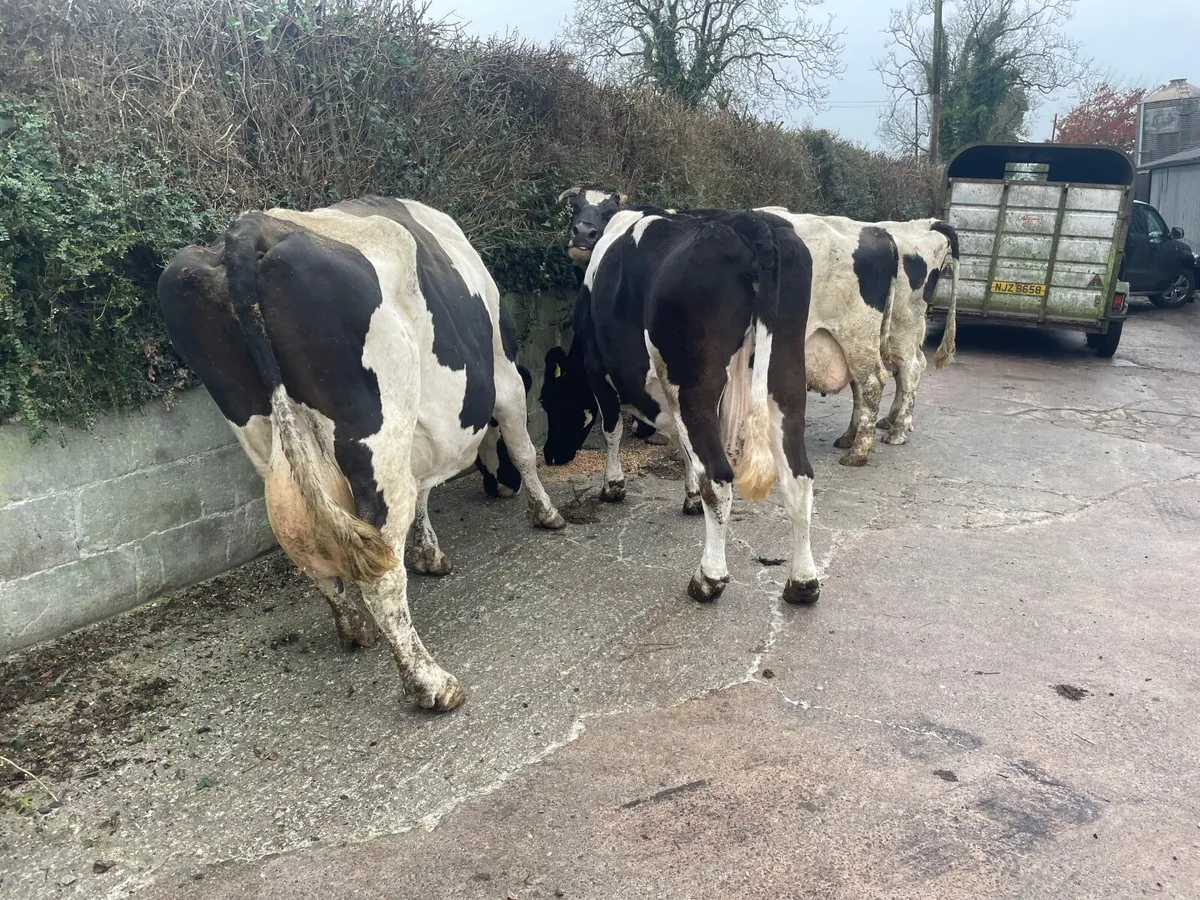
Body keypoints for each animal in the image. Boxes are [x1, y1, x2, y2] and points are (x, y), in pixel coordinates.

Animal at [158, 196, 565, 711]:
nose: (504, 492)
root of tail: (247, 230)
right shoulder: (505, 372)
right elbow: (523, 447)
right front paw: (546, 514)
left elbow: (421, 492)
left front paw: (429, 554)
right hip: (376, 431)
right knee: (381, 567)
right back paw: (431, 683)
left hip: (258, 433)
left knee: (312, 542)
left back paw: (354, 630)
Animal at [540, 197, 823, 606]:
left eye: (549, 401)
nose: (550, 455)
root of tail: (749, 222)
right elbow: (682, 445)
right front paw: (688, 497)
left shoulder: (598, 368)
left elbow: (613, 429)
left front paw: (613, 485)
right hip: (784, 375)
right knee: (797, 474)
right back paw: (802, 582)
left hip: (694, 382)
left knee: (719, 477)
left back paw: (708, 578)